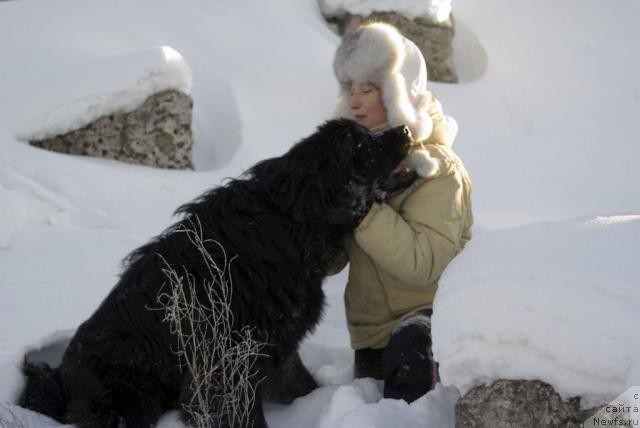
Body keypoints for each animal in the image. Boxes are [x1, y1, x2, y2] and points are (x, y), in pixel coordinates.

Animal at [17, 118, 418, 428]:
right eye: (362, 144)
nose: (405, 128)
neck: (289, 224)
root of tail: (61, 377)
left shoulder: (277, 343)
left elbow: (298, 382)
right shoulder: (226, 362)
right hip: (128, 393)